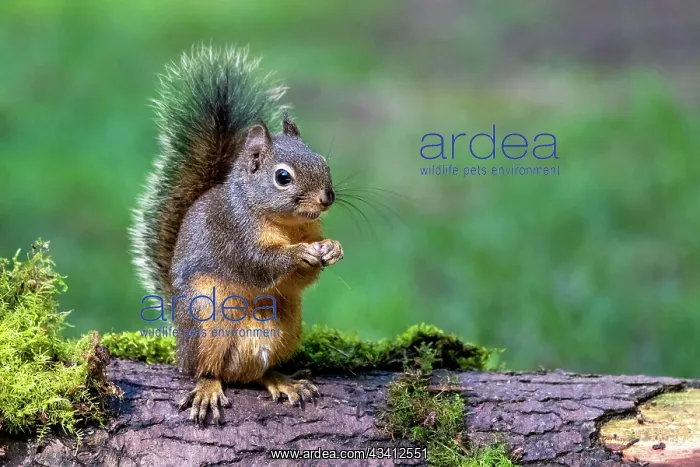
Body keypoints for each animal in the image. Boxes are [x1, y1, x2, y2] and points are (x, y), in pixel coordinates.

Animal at [129, 45, 344, 425]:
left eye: (323, 162)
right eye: (283, 177)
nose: (327, 198)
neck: (286, 224)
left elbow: (302, 279)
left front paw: (331, 248)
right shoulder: (233, 233)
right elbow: (258, 264)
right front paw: (298, 253)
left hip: (285, 327)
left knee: (257, 372)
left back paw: (282, 380)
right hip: (205, 322)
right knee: (207, 368)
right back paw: (207, 388)